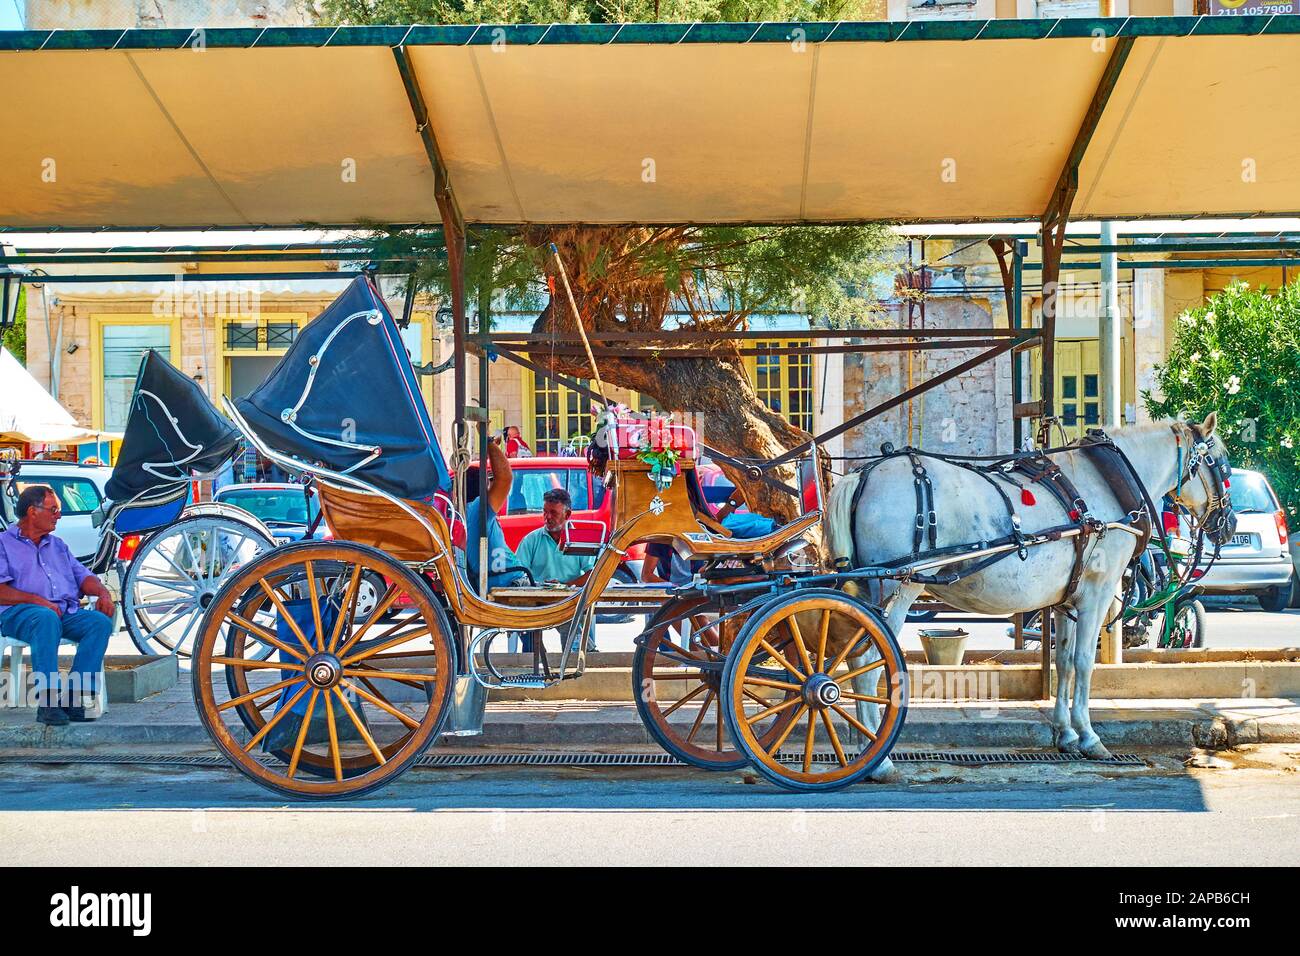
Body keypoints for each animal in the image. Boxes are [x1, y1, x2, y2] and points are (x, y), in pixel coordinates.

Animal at [826, 413, 1232, 770]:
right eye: (1223, 465)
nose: (1228, 525)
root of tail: (862, 475)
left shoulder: (1069, 599)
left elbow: (1063, 662)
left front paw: (1066, 734)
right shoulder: (1097, 593)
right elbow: (1084, 662)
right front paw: (1090, 737)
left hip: (865, 590)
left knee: (855, 661)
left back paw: (864, 745)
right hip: (899, 586)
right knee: (869, 663)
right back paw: (878, 759)